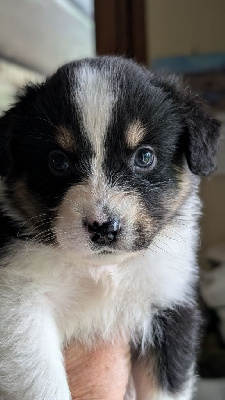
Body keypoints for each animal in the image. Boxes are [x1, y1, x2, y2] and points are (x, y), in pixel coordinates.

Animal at [0, 57, 220, 400]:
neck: (103, 271)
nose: (103, 227)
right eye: (57, 161)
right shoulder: (18, 304)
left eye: (144, 156)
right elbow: (42, 383)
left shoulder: (171, 303)